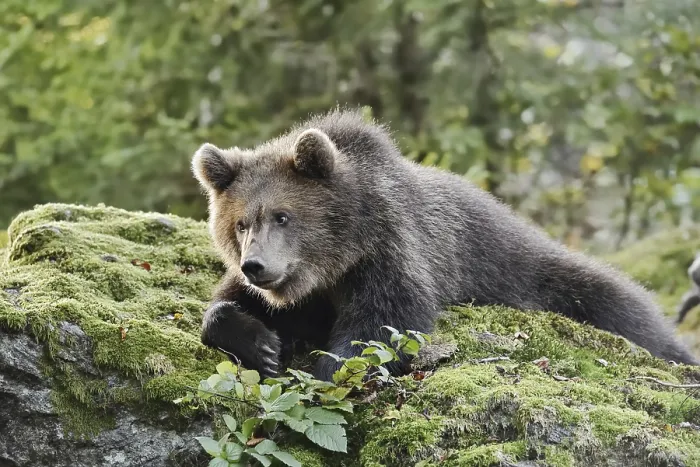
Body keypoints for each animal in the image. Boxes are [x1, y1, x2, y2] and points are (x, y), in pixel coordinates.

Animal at [191, 108, 698, 382]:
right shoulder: (301, 291)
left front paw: (326, 368)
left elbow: (386, 325)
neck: (338, 260)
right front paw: (260, 343)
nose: (256, 265)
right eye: (240, 224)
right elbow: (226, 305)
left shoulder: (394, 253)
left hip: (541, 274)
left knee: (623, 308)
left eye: (283, 215)